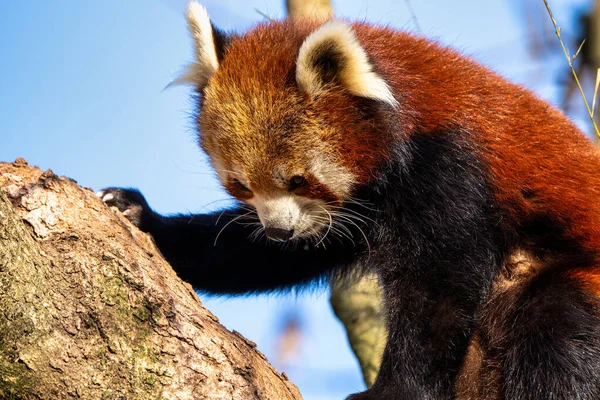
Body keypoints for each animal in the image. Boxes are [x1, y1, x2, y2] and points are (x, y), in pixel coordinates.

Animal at [102, 1, 600, 398]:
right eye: (242, 186)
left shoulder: (453, 167)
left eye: (299, 180)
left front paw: (394, 391)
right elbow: (260, 254)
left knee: (558, 323)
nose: (278, 230)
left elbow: (439, 293)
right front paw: (142, 215)